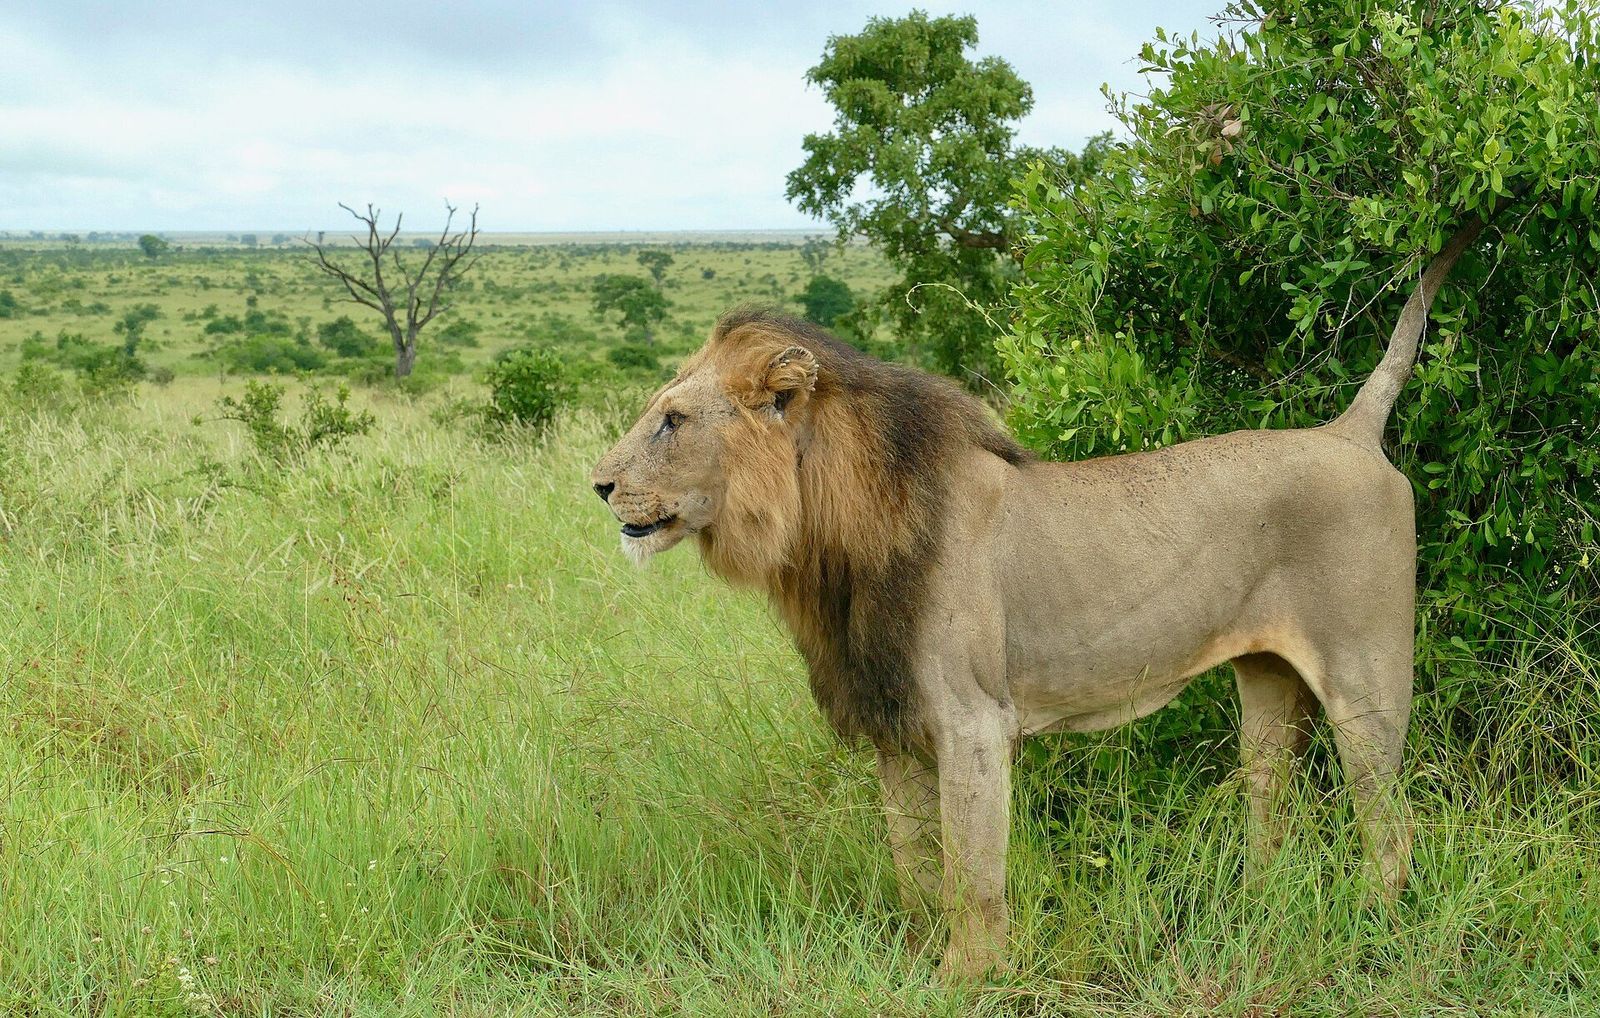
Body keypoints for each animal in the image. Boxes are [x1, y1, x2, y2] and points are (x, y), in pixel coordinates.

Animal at [590, 217, 1490, 979]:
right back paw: (1258, 908)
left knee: (1391, 822)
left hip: (1366, 681)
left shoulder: (972, 722)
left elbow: (970, 874)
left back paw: (1375, 928)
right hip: (1269, 684)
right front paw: (916, 962)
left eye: (671, 421)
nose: (598, 485)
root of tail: (1351, 432)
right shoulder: (895, 727)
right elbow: (913, 866)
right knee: (1276, 805)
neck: (827, 543)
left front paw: (967, 979)